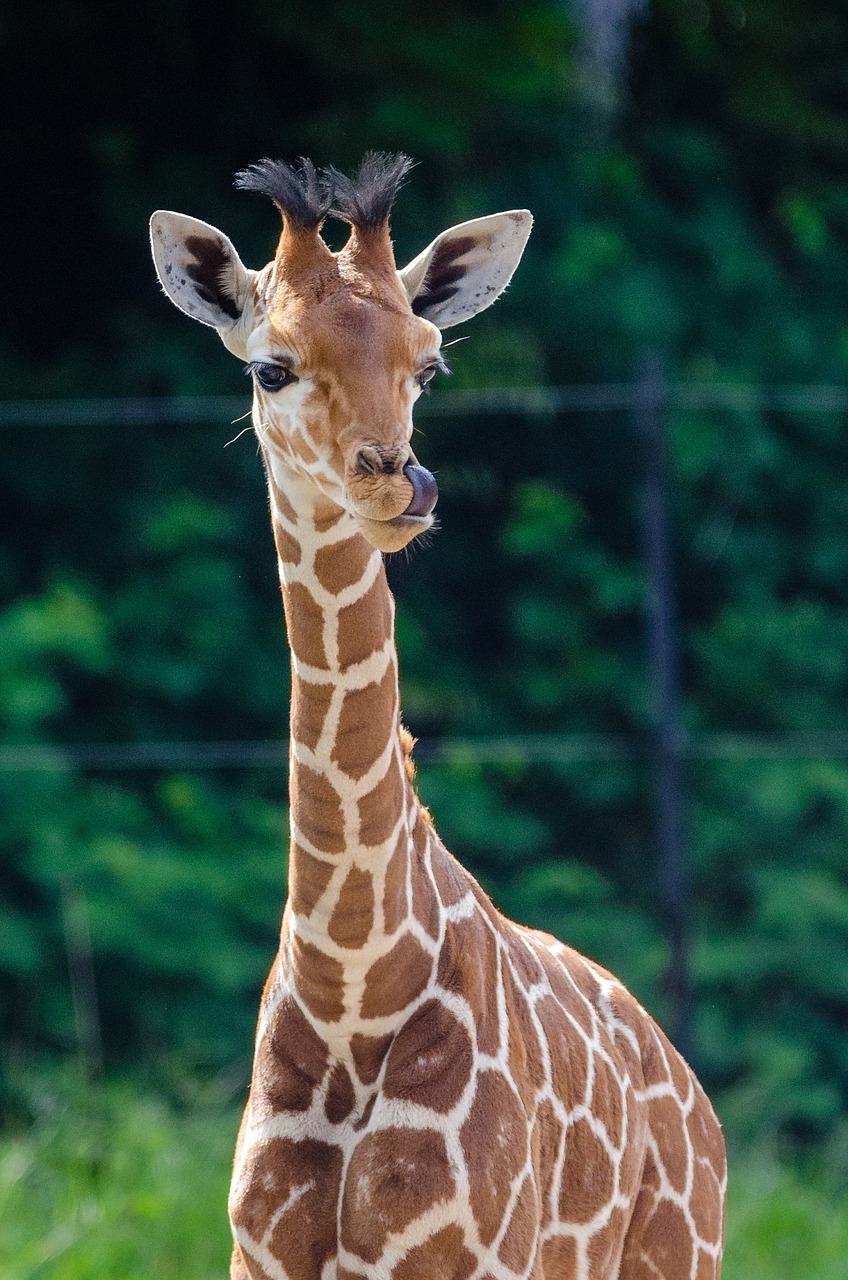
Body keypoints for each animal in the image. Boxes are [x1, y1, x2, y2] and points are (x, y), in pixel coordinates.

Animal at [149, 157, 727, 1280]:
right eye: (271, 368)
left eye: (430, 364)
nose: (400, 485)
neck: (351, 985)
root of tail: (694, 1097)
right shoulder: (257, 1256)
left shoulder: (466, 1257)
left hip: (677, 1256)